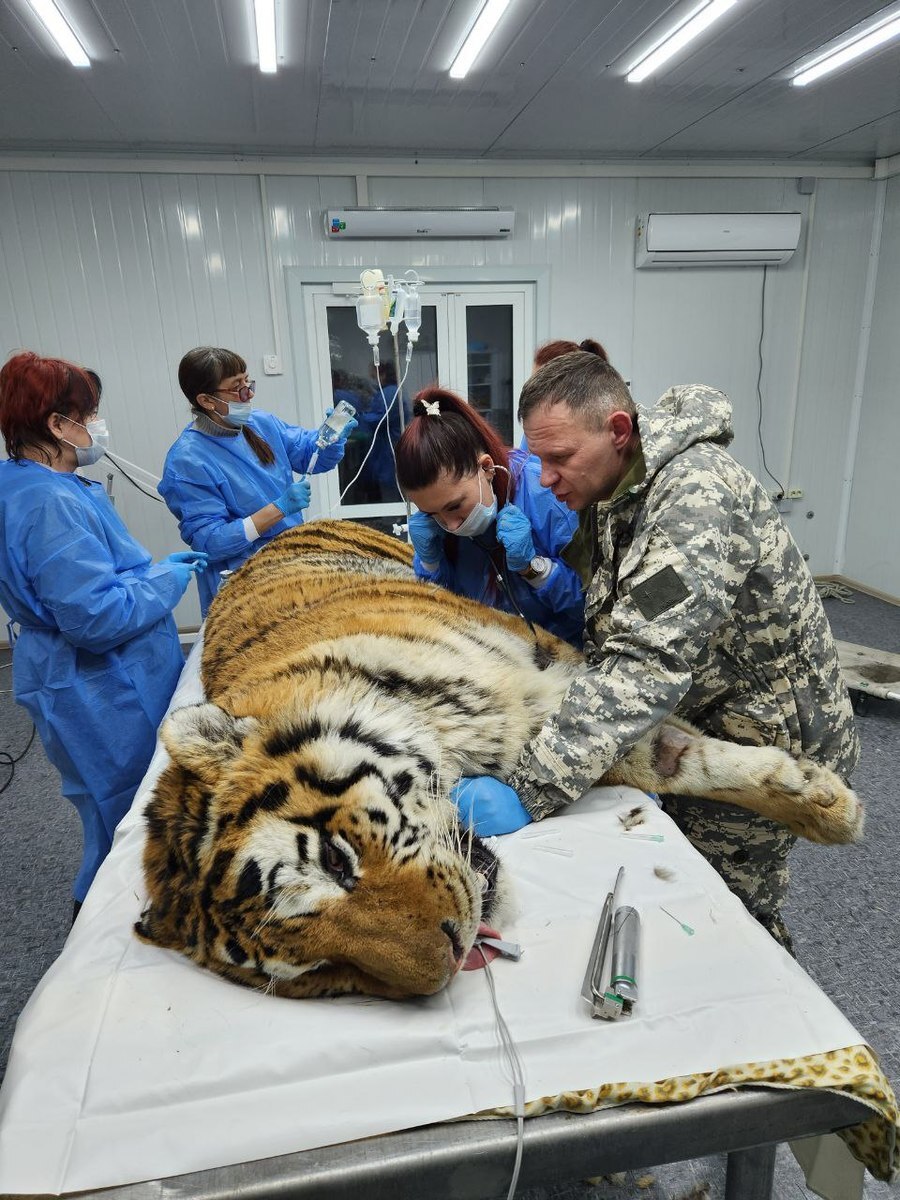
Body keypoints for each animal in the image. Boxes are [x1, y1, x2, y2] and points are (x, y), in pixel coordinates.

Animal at [137, 520, 864, 998]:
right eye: (322, 972)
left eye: (338, 862)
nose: (453, 955)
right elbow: (680, 757)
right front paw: (823, 799)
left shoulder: (560, 681)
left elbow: (676, 744)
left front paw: (832, 811)